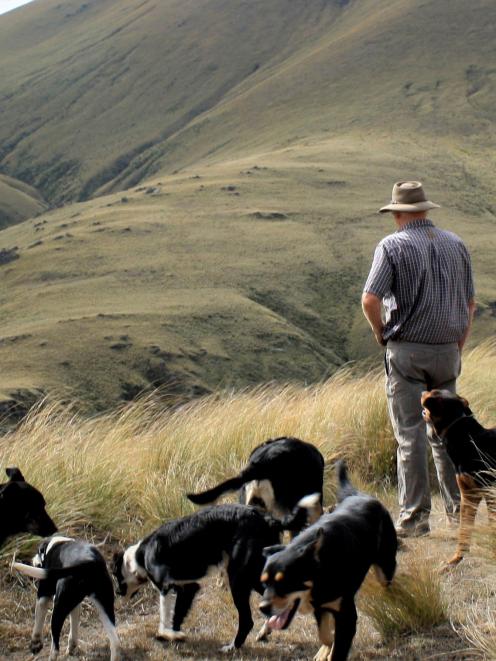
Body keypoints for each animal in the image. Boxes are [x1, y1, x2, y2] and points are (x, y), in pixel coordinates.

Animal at [112, 500, 318, 648]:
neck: (140, 555)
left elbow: (165, 615)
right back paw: (266, 630)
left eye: (115, 576)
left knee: (247, 620)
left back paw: (233, 646)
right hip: (253, 575)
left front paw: (165, 635)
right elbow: (177, 614)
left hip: (239, 579)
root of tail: (269, 520)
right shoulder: (188, 587)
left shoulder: (166, 587)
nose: (117, 593)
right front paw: (174, 635)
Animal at [258, 462, 398, 660]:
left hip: (385, 568)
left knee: (387, 582)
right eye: (264, 584)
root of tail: (359, 495)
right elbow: (325, 635)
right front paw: (326, 649)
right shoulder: (320, 606)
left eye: (285, 583)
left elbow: (337, 647)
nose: (263, 608)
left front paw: (331, 651)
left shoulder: (346, 615)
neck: (321, 567)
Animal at [420, 386, 496, 568]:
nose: (422, 392)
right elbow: (464, 531)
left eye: (433, 392)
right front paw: (456, 559)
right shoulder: (468, 496)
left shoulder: (490, 493)